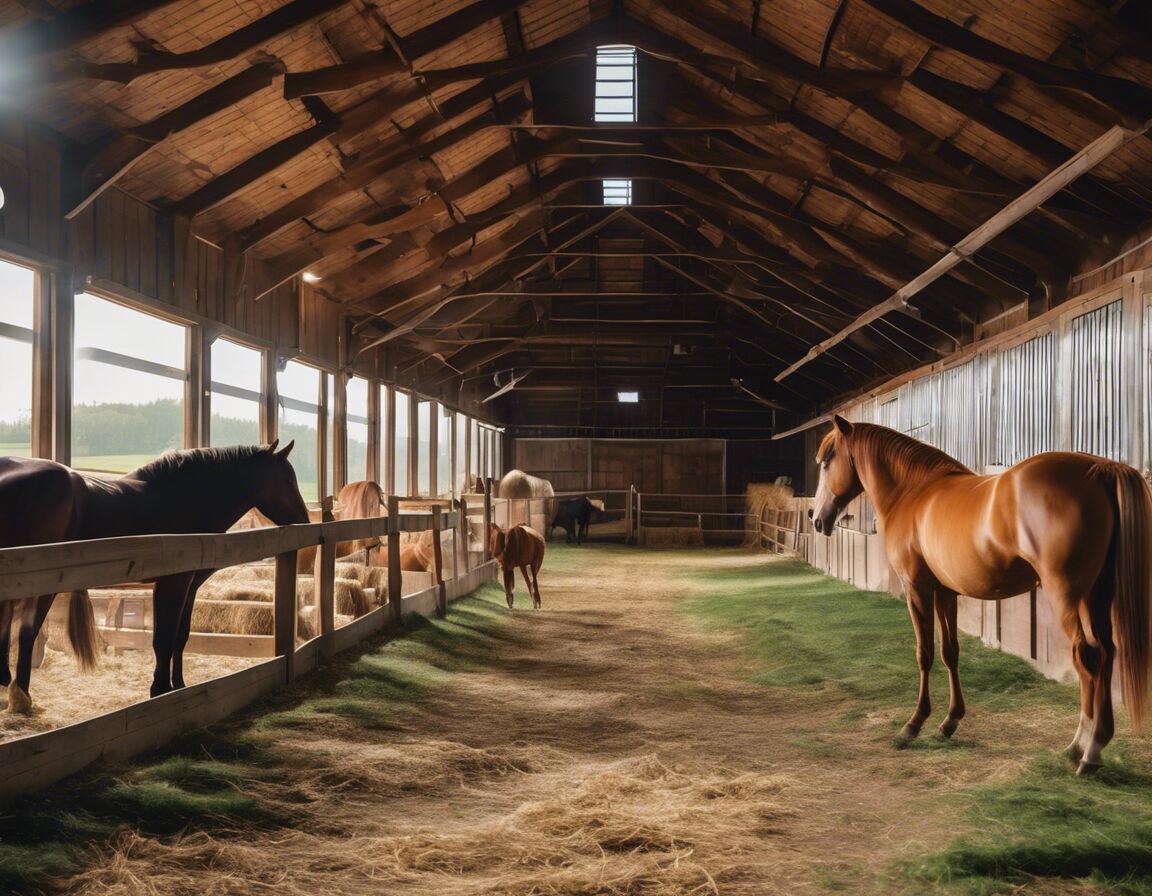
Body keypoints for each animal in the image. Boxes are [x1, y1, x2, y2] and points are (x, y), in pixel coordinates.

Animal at [0, 437, 308, 704]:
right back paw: (21, 695)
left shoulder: (189, 586)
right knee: (27, 631)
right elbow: (163, 639)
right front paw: (160, 689)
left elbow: (180, 637)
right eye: (287, 480)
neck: (181, 499)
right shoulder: (173, 583)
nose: (305, 521)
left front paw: (179, 685)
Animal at [811, 414, 1152, 769]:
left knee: (1087, 657)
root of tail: (1099, 469)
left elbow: (924, 653)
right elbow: (950, 652)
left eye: (827, 460)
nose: (817, 519)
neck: (912, 491)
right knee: (1108, 653)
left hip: (1068, 594)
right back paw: (1097, 742)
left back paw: (1083, 750)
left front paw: (914, 723)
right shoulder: (946, 592)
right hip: (1096, 595)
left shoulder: (917, 589)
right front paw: (950, 721)